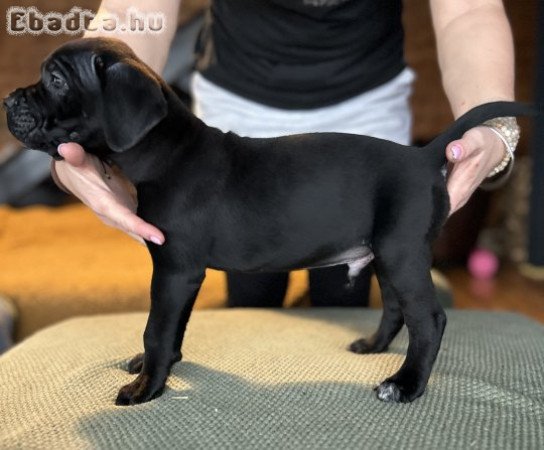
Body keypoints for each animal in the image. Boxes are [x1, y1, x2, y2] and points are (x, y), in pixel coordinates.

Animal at [3, 37, 532, 404]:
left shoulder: (174, 269)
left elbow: (156, 326)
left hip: (401, 253)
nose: (7, 100)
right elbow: (173, 327)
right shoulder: (183, 276)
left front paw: (146, 387)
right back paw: (373, 347)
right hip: (387, 254)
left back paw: (405, 385)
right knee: (397, 309)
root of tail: (424, 157)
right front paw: (163, 364)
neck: (166, 151)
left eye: (56, 81)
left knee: (430, 320)